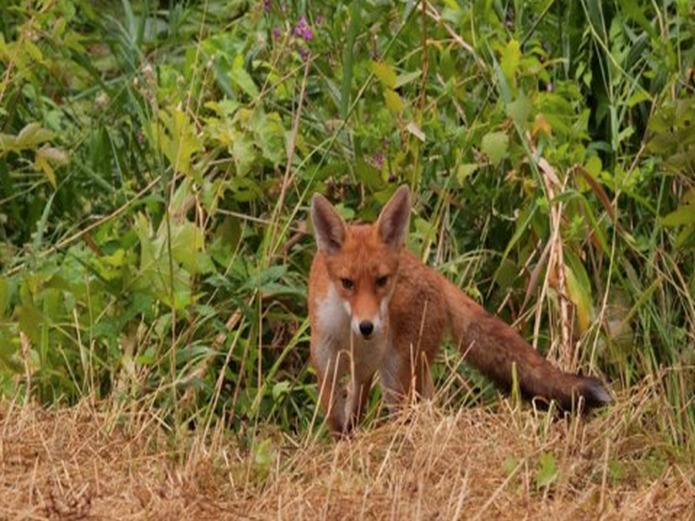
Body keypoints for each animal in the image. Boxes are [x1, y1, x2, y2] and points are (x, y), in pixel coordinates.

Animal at [308, 185, 612, 436]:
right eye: (347, 283)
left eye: (381, 281)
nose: (367, 326)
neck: (347, 334)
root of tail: (433, 274)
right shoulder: (326, 364)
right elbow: (336, 418)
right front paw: (342, 445)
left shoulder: (366, 369)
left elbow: (353, 415)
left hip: (398, 373)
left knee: (411, 413)